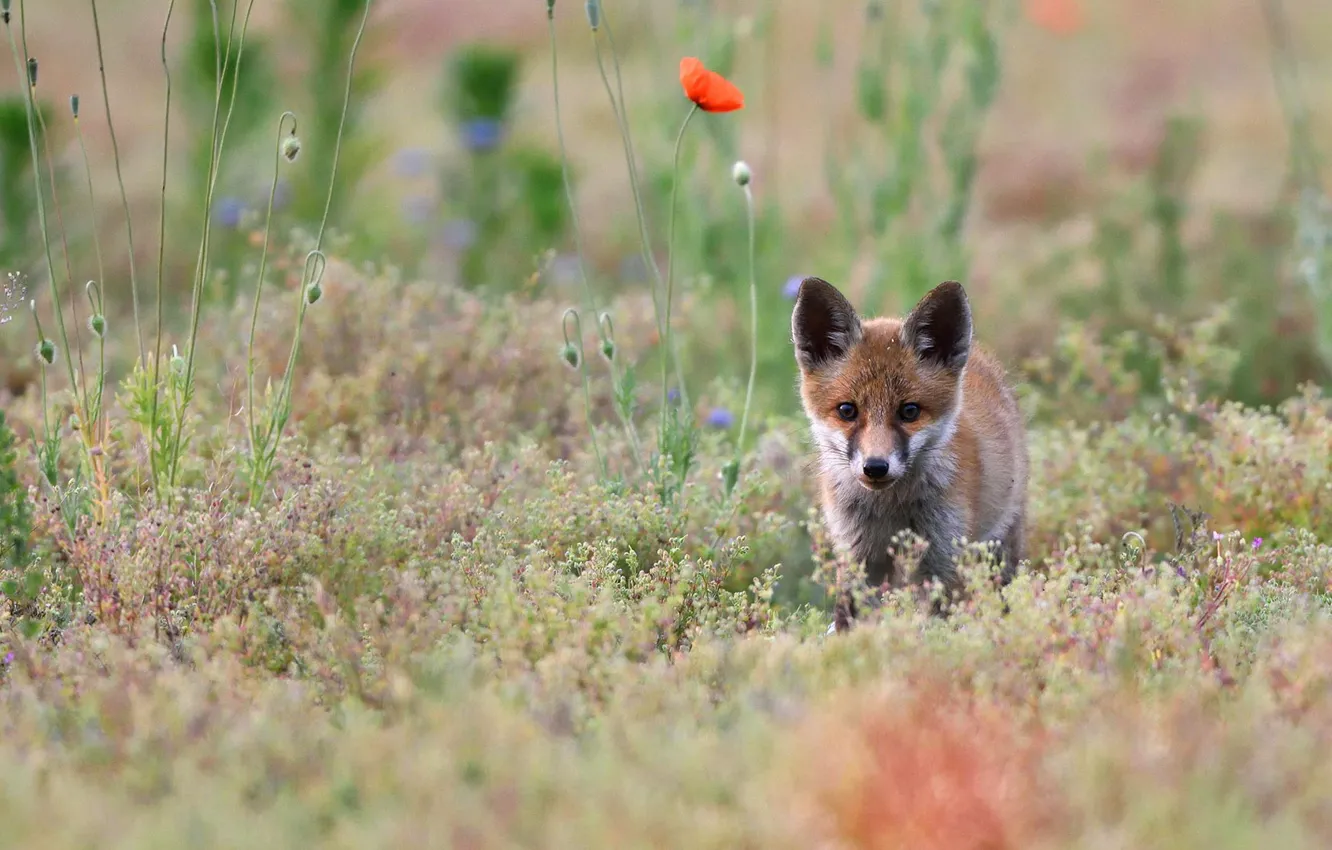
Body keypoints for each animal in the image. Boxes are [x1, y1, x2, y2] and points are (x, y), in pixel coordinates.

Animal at [788, 279, 1028, 634]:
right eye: (847, 410)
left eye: (909, 411)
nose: (875, 467)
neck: (891, 510)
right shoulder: (858, 555)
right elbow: (851, 619)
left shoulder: (943, 557)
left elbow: (936, 625)